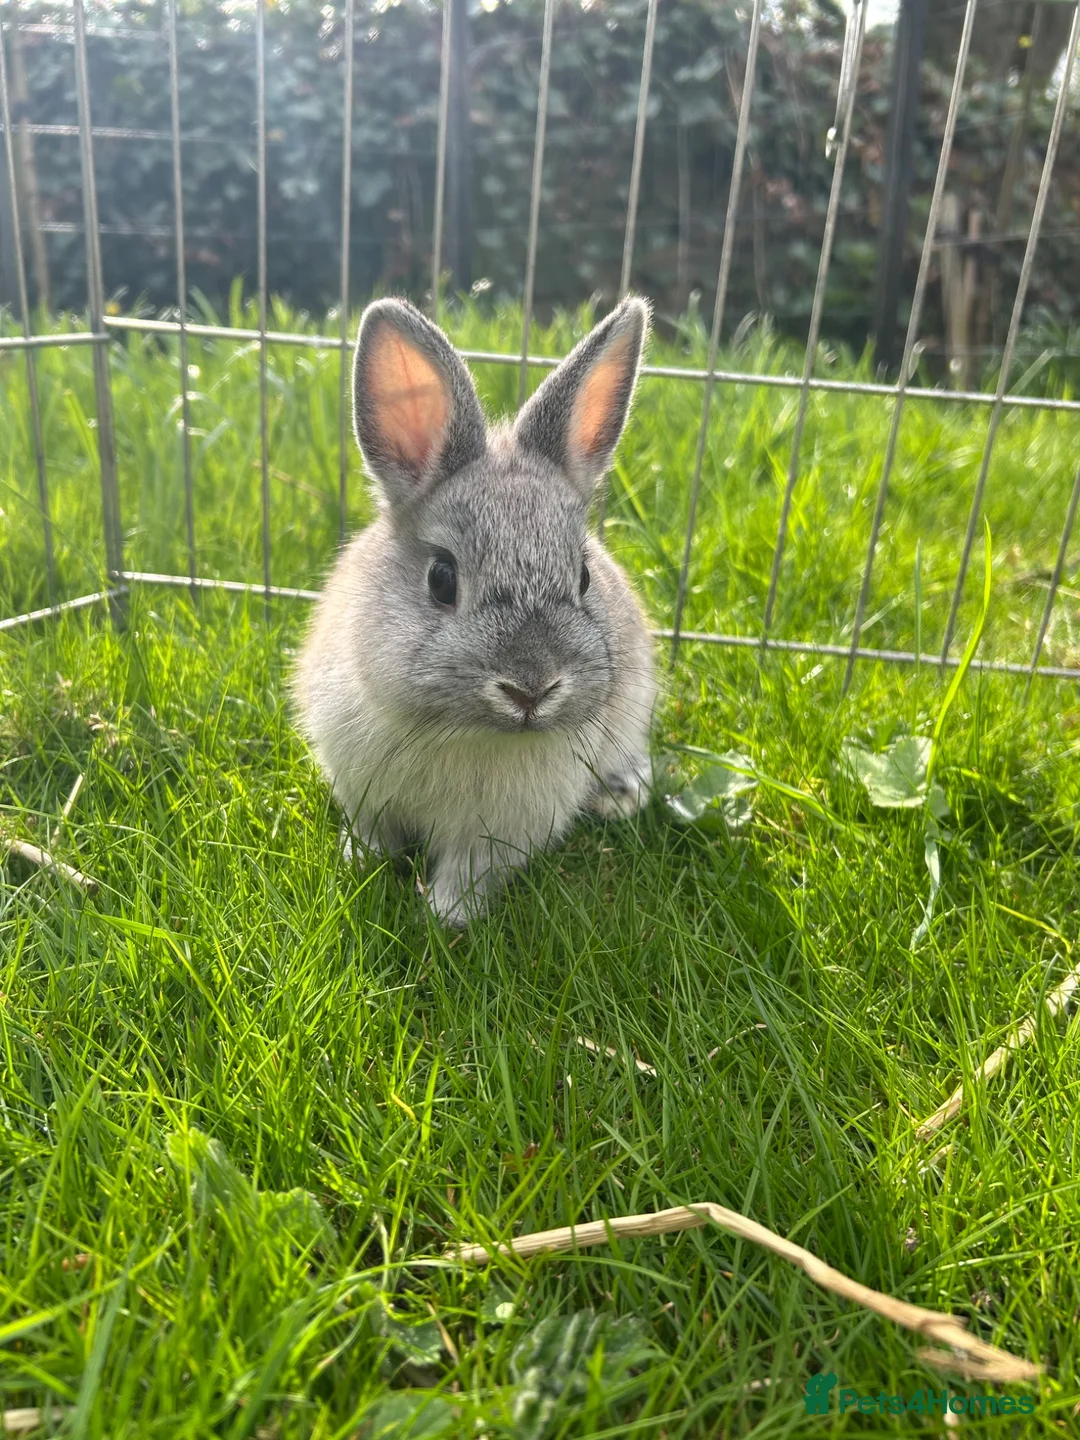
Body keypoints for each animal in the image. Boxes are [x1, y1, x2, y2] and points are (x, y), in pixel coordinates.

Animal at [292, 294, 656, 926]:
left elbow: (469, 870)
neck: (462, 731)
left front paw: (443, 917)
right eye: (442, 579)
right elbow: (372, 832)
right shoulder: (361, 786)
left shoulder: (498, 833)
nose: (531, 689)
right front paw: (358, 863)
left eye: (583, 576)